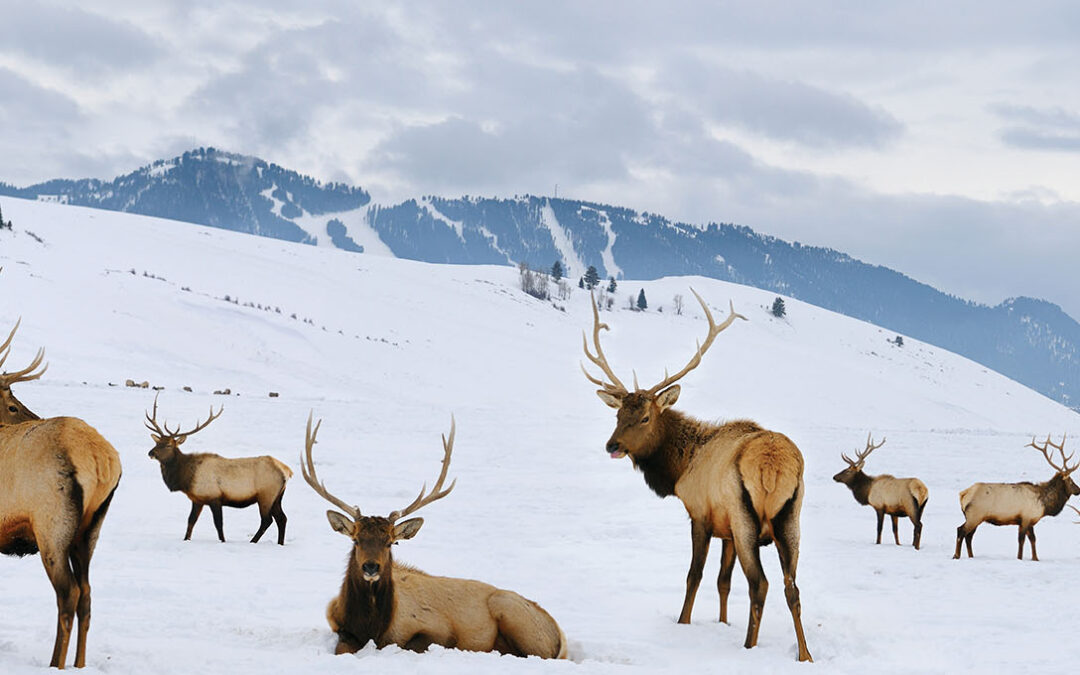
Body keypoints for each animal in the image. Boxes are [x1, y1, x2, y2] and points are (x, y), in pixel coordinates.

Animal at [0, 324, 122, 665]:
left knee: (68, 593)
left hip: (52, 525)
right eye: (13, 405)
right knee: (87, 594)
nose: (35, 417)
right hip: (89, 529)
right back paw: (79, 664)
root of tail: (103, 460)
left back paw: (56, 663)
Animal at [147, 395, 293, 542]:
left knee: (267, 520)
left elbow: (219, 524)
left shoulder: (214, 497)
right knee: (282, 518)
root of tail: (287, 471)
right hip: (277, 497)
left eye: (169, 445)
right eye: (157, 442)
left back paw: (253, 541)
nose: (151, 453)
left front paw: (223, 541)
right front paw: (186, 539)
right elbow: (191, 521)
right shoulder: (197, 500)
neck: (186, 477)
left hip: (266, 494)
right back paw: (280, 543)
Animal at [295, 412, 565, 656]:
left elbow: (412, 645)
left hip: (512, 612)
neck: (372, 627)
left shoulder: (438, 631)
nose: (371, 567)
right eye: (356, 540)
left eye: (390, 542)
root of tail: (559, 633)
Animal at [583, 291, 812, 665]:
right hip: (789, 518)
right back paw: (805, 655)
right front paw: (722, 622)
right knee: (791, 586)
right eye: (618, 415)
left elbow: (695, 574)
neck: (680, 467)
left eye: (645, 417)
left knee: (760, 584)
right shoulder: (727, 531)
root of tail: (773, 465)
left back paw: (749, 647)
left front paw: (683, 621)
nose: (611, 445)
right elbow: (723, 581)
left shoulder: (701, 515)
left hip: (747, 518)